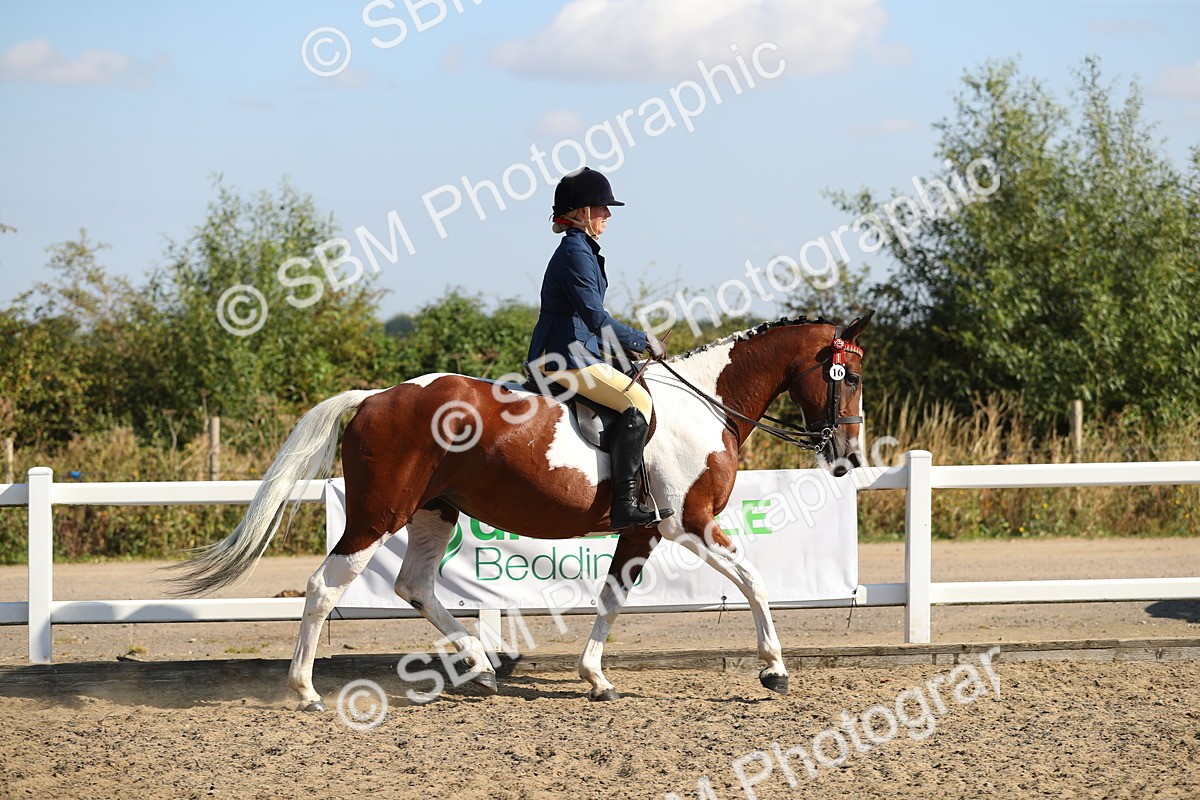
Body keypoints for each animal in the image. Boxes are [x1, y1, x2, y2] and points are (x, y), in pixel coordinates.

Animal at [172, 312, 872, 710]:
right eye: (854, 377)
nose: (848, 458)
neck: (704, 404)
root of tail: (374, 396)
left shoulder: (642, 530)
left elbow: (612, 597)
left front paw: (595, 677)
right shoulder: (687, 522)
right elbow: (753, 579)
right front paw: (774, 669)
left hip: (434, 512)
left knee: (414, 585)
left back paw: (481, 668)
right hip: (377, 515)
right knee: (325, 586)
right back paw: (305, 691)